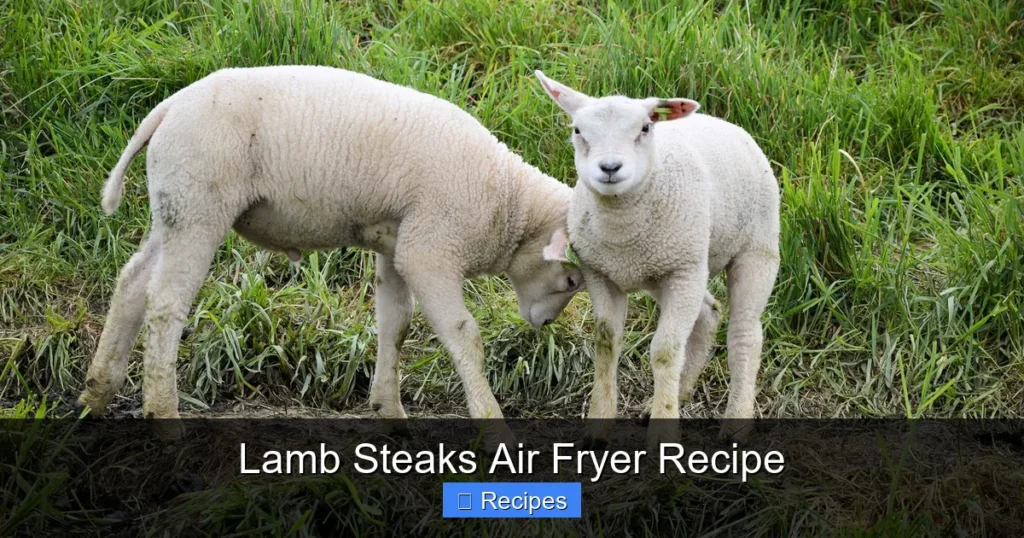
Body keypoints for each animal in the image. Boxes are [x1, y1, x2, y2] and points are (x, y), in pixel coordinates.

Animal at [76, 66, 584, 446]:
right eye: (572, 280)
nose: (544, 326)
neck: (507, 202)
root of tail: (167, 109)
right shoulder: (430, 251)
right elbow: (465, 337)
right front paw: (493, 424)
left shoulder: (397, 246)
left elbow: (395, 325)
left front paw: (388, 410)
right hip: (198, 202)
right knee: (165, 303)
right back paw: (163, 414)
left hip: (174, 205)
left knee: (132, 283)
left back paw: (97, 392)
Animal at [535, 71, 780, 447]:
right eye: (577, 130)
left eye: (645, 127)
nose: (609, 167)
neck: (623, 227)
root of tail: (726, 124)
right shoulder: (601, 273)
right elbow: (606, 343)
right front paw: (599, 425)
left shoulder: (682, 270)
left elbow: (665, 351)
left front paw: (664, 432)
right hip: (672, 269)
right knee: (709, 314)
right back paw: (674, 396)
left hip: (753, 248)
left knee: (744, 335)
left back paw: (736, 422)